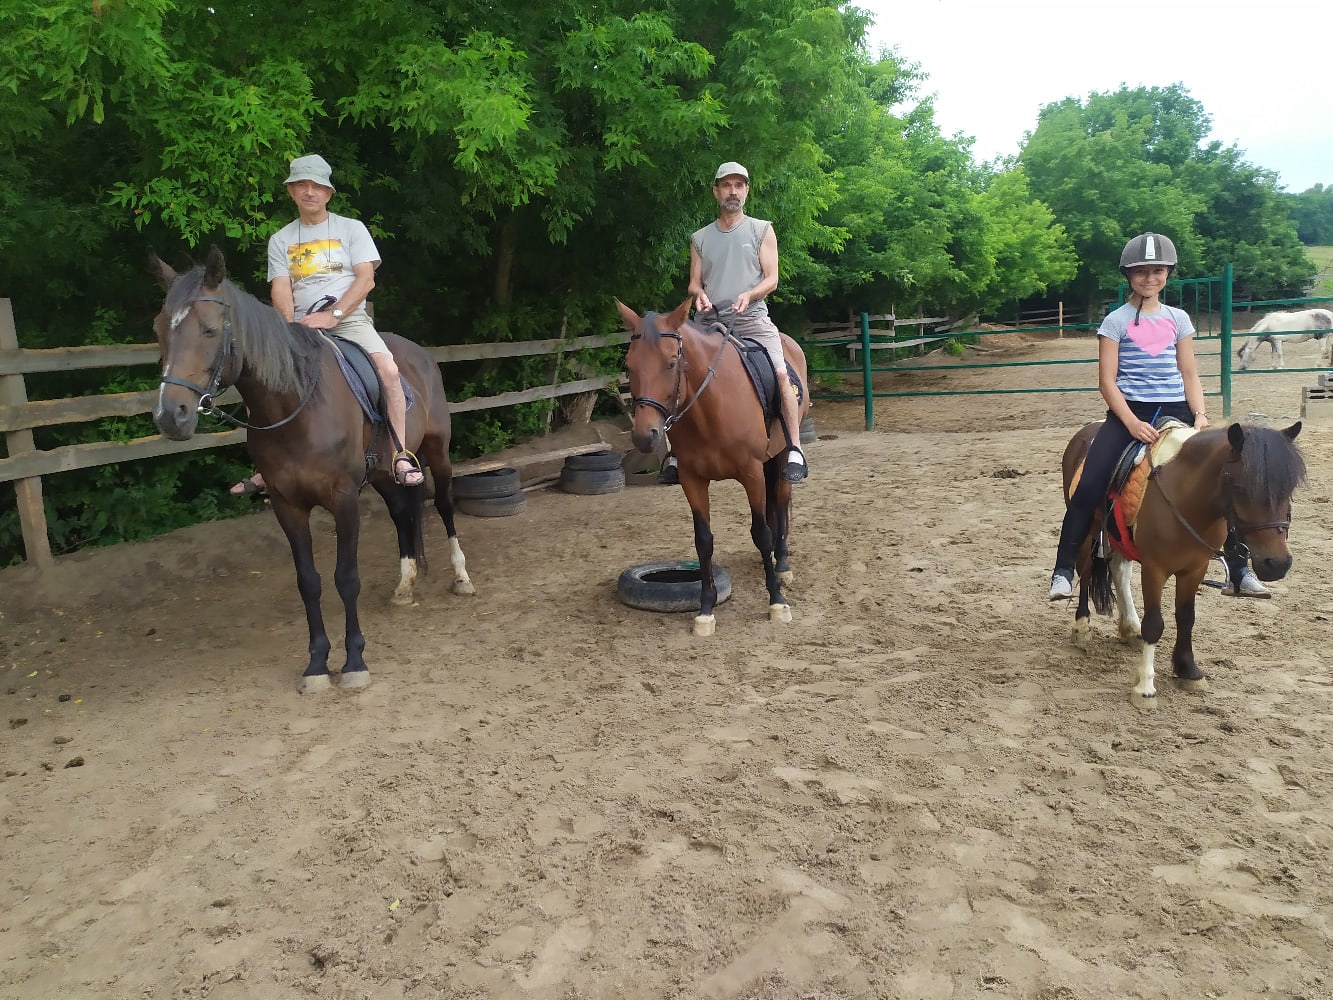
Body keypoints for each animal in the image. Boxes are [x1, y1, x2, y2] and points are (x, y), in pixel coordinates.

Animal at [152, 249, 474, 698]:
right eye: (158, 331)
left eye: (210, 330)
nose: (171, 416)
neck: (298, 405)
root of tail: (419, 354)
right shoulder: (287, 506)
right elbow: (308, 581)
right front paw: (317, 664)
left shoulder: (343, 499)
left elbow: (346, 578)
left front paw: (354, 661)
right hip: (383, 475)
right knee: (402, 514)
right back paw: (405, 584)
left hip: (437, 451)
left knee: (443, 504)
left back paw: (461, 578)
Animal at [615, 301, 810, 637]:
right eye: (629, 366)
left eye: (671, 363)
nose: (644, 435)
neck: (710, 408)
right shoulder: (692, 480)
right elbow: (703, 541)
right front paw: (706, 609)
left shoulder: (751, 473)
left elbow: (761, 533)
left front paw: (776, 601)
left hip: (782, 456)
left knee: (782, 502)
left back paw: (782, 564)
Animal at [1061, 418, 1301, 709]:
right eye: (1241, 488)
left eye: (1289, 489)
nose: (1277, 564)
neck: (1186, 498)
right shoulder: (1154, 569)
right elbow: (1155, 624)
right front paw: (1145, 687)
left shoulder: (1194, 569)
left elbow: (1187, 618)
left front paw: (1188, 670)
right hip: (1088, 529)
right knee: (1084, 571)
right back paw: (1082, 626)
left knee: (1119, 570)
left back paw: (1131, 628)